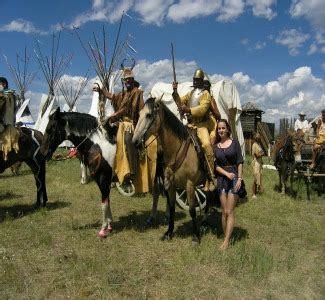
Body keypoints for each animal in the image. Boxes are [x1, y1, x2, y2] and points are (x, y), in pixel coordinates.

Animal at [132, 98, 206, 244]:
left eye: (149, 115)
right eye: (139, 114)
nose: (135, 141)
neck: (177, 150)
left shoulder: (190, 185)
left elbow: (192, 210)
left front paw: (195, 236)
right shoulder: (171, 185)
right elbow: (171, 207)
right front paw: (169, 232)